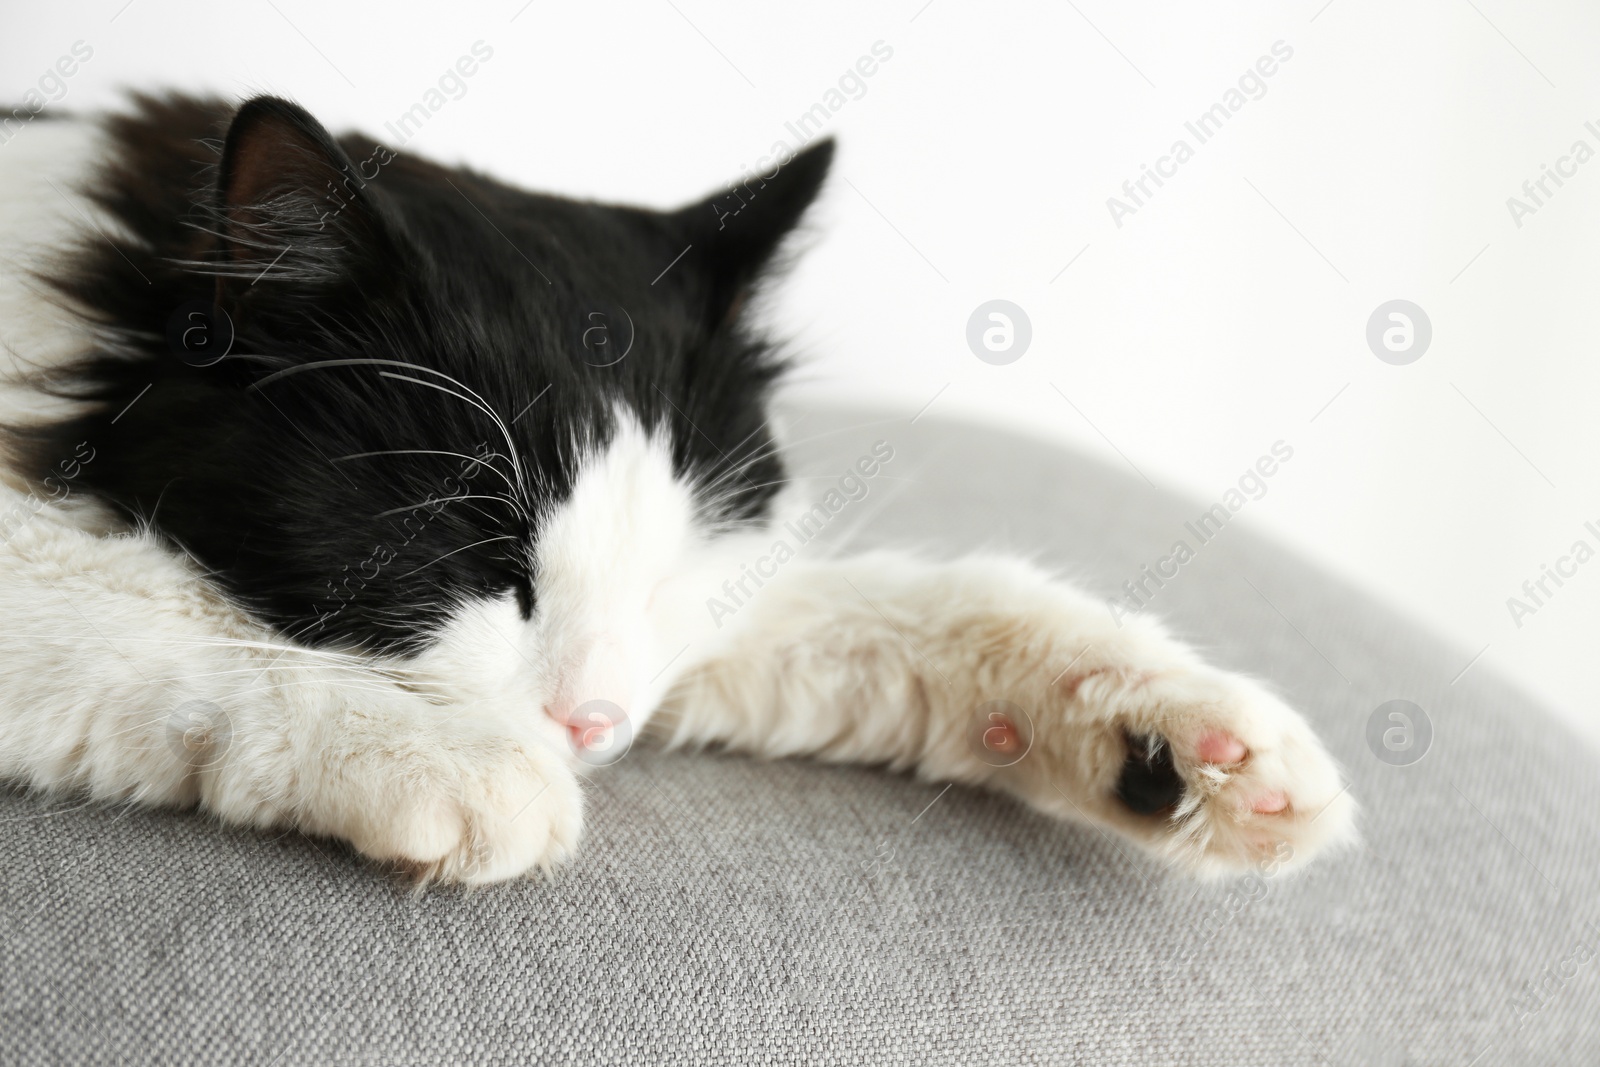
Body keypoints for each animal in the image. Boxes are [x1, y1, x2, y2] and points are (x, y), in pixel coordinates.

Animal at [0, 95, 1350, 883]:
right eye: (477, 558)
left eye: (669, 570)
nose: (589, 725)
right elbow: (150, 608)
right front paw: (449, 758)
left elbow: (930, 609)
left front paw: (1183, 746)